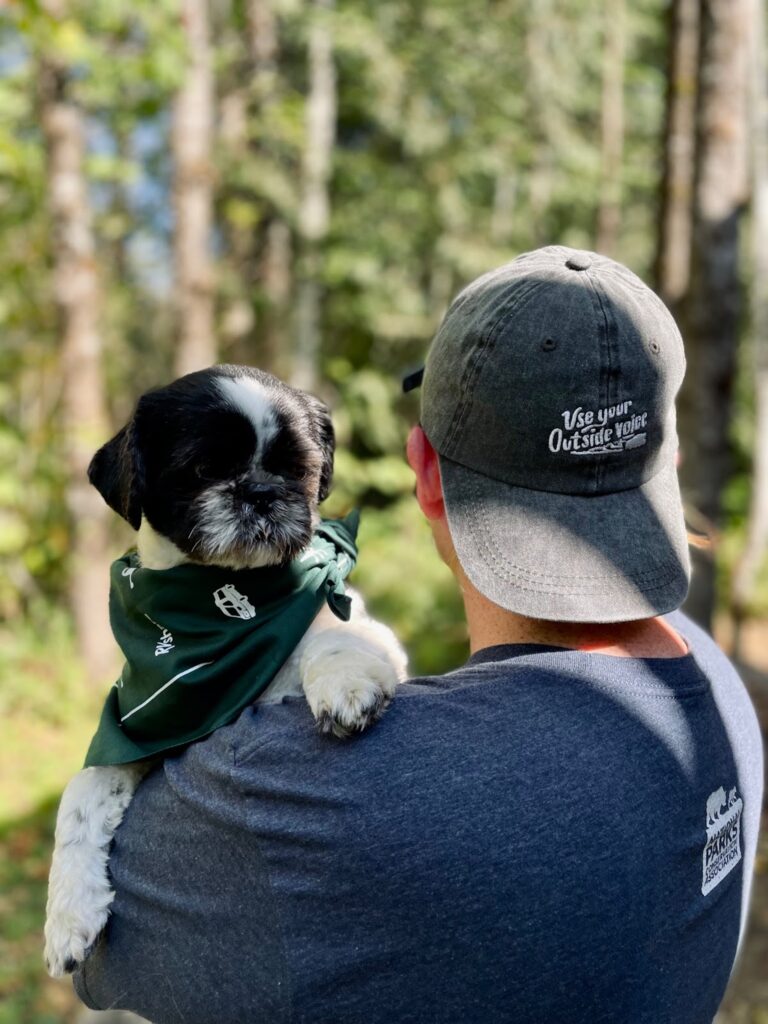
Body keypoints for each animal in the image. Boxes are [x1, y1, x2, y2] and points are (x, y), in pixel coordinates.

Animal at [45, 366, 409, 974]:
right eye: (204, 470)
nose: (260, 491)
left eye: (297, 470)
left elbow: (336, 637)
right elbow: (81, 793)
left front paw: (346, 685)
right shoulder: (138, 731)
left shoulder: (360, 628)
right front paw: (68, 916)